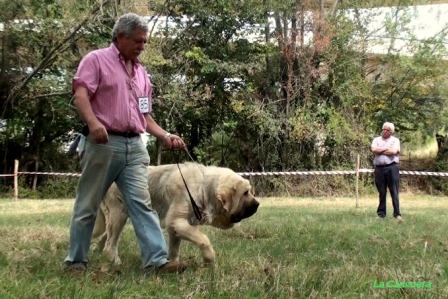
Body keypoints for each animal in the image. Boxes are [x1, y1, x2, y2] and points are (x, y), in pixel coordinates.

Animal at [92, 164, 260, 264]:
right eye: (245, 193)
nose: (258, 204)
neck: (204, 189)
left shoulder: (177, 227)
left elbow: (174, 249)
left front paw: (173, 264)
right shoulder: (176, 221)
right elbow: (204, 239)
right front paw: (209, 258)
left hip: (119, 217)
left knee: (106, 238)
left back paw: (99, 254)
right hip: (118, 215)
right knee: (110, 242)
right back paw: (114, 261)